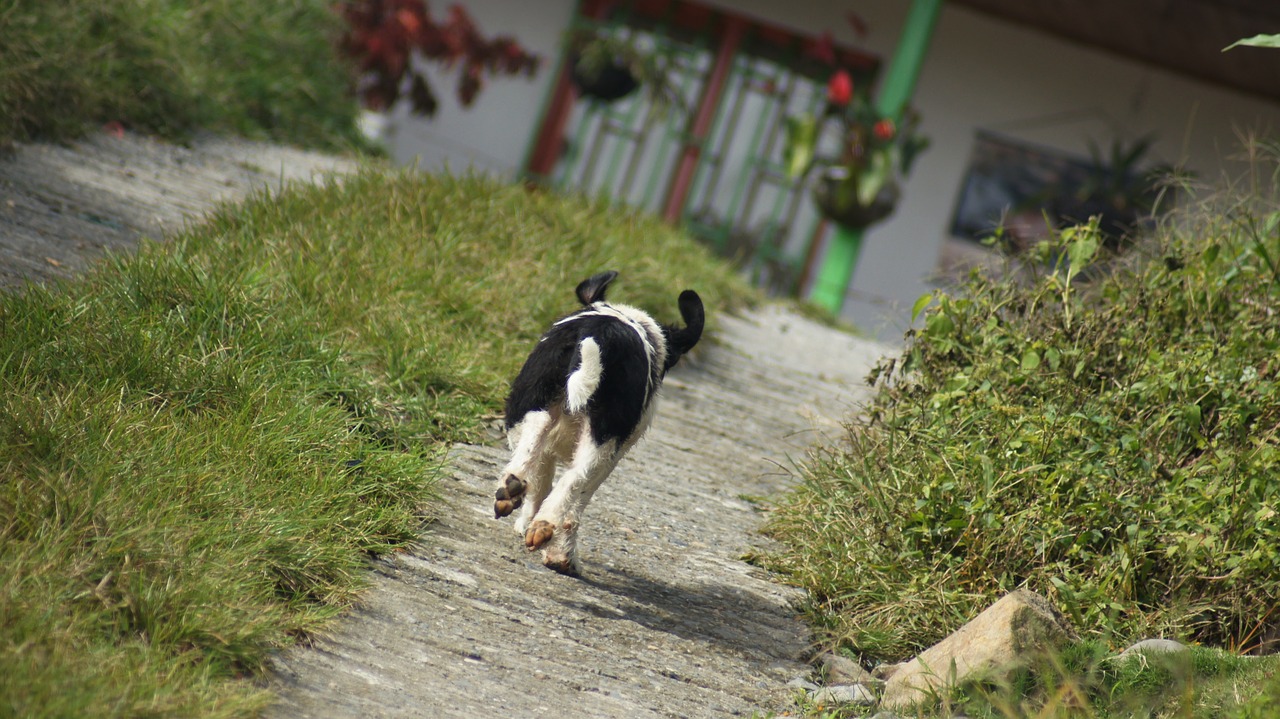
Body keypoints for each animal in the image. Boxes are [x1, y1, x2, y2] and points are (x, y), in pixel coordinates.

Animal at [494, 271, 706, 573]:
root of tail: (601, 331)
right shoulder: (613, 456)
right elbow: (575, 499)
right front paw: (557, 550)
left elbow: (542, 478)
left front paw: (528, 524)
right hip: (606, 436)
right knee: (574, 479)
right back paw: (548, 531)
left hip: (531, 402)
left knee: (533, 446)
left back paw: (512, 492)